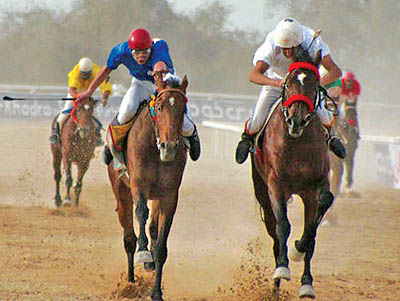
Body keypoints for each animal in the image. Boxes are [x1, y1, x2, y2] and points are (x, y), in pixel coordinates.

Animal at [108, 72, 189, 300]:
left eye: (183, 108)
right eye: (159, 107)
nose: (169, 147)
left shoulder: (169, 195)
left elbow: (161, 245)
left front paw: (156, 292)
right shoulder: (138, 186)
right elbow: (141, 214)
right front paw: (143, 253)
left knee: (152, 228)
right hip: (121, 192)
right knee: (129, 237)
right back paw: (130, 282)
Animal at [253, 47, 334, 298]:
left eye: (315, 84)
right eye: (288, 83)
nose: (296, 120)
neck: (297, 142)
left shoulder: (316, 186)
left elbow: (312, 228)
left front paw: (301, 259)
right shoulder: (275, 185)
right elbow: (283, 226)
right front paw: (282, 268)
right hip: (262, 192)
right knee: (274, 232)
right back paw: (276, 284)